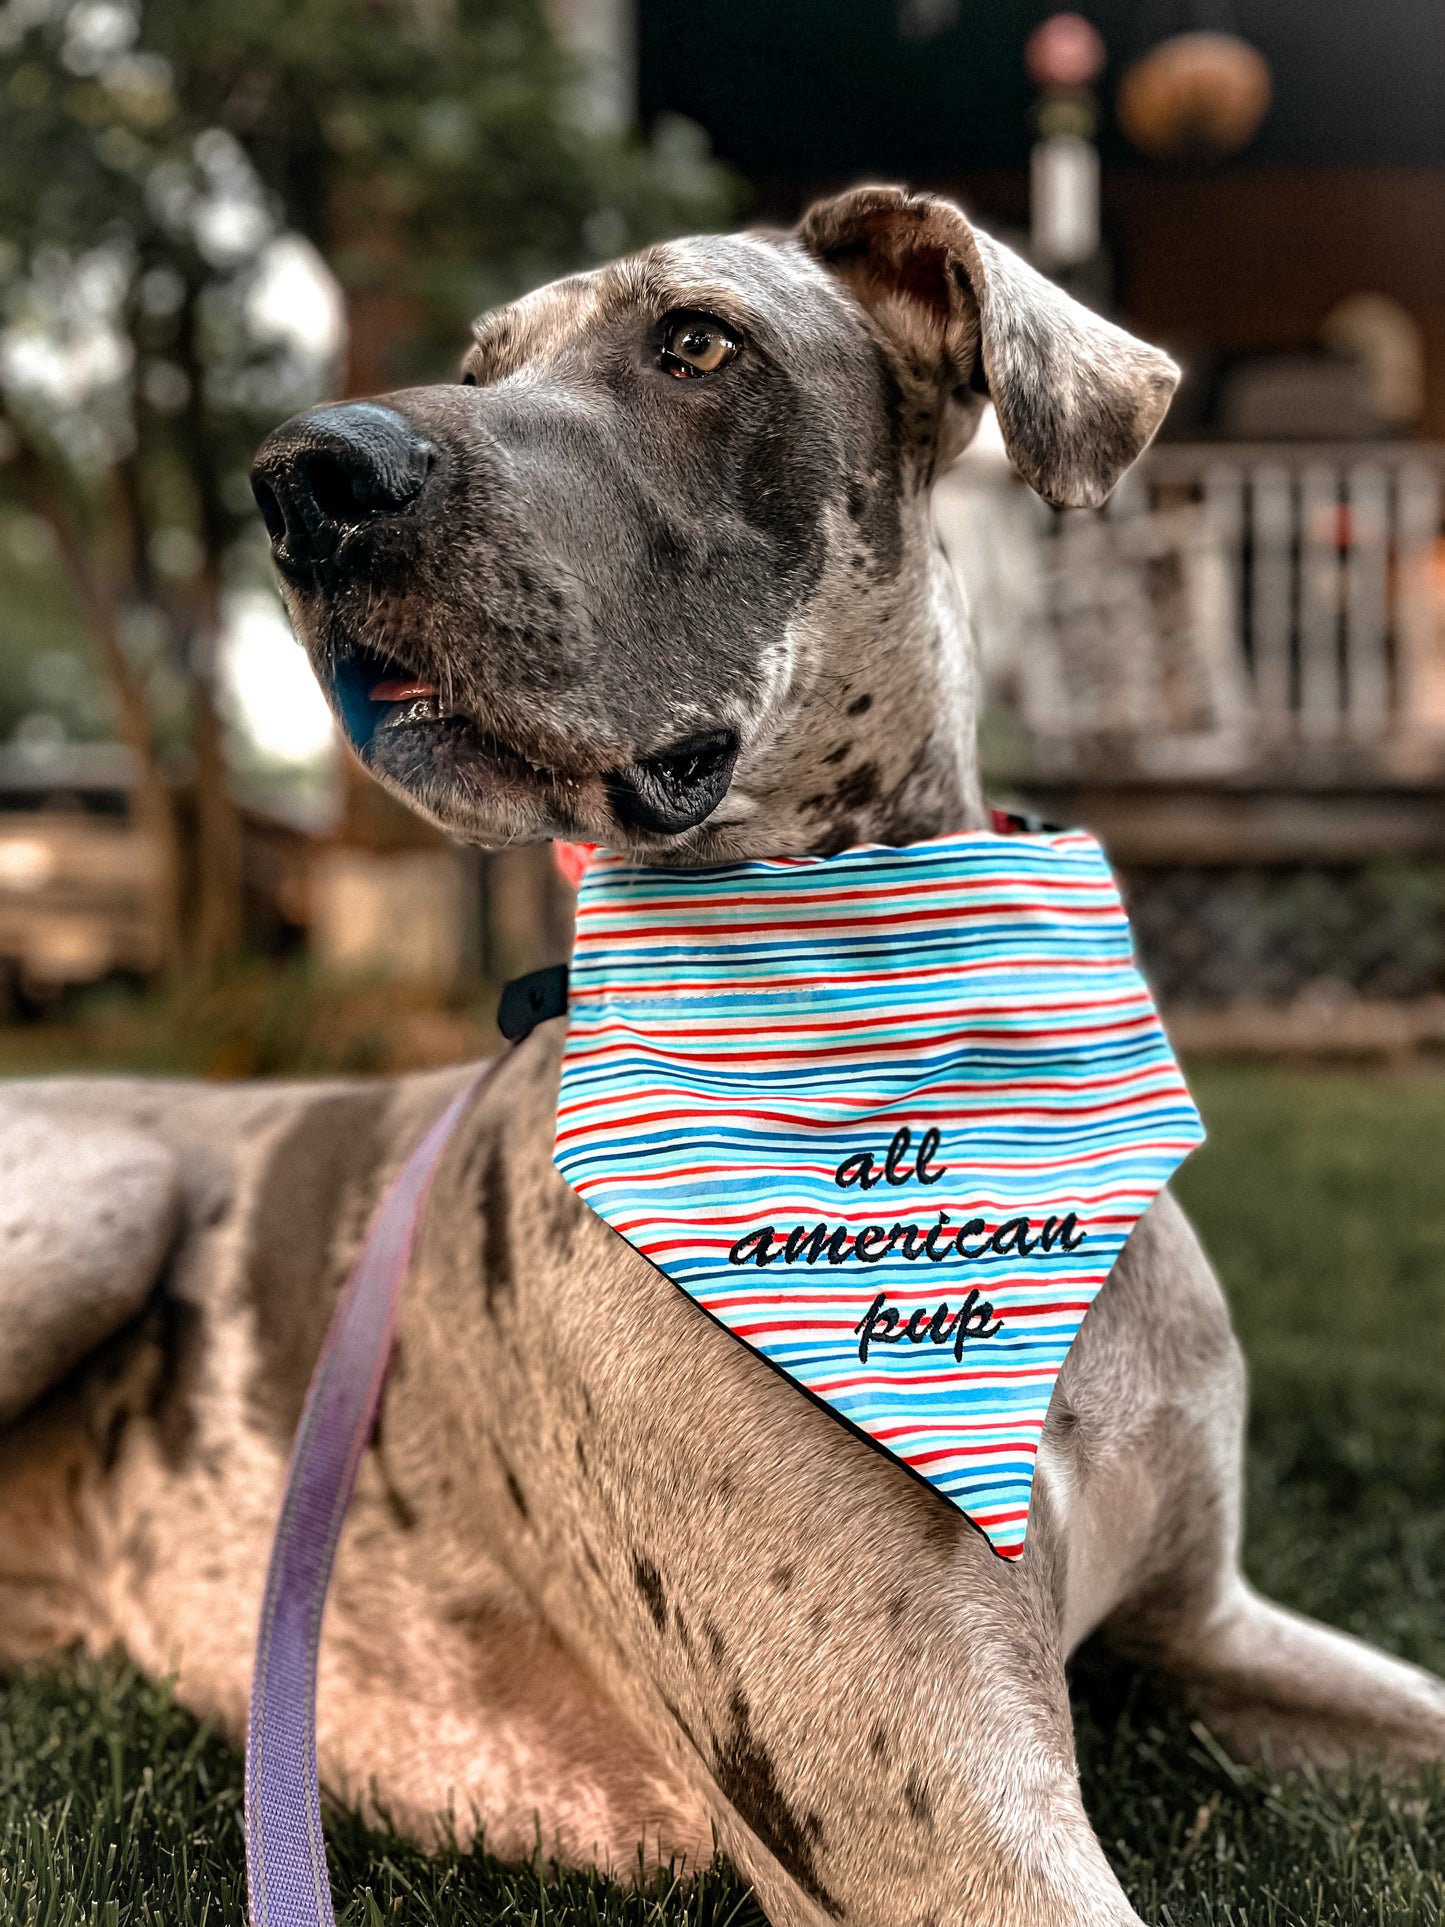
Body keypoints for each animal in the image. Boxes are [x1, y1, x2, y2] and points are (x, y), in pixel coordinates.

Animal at [2, 191, 1445, 1927]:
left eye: (697, 341)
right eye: (481, 365)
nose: (301, 476)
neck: (911, 1047)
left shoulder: (1211, 1623)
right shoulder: (943, 1821)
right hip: (105, 1190)